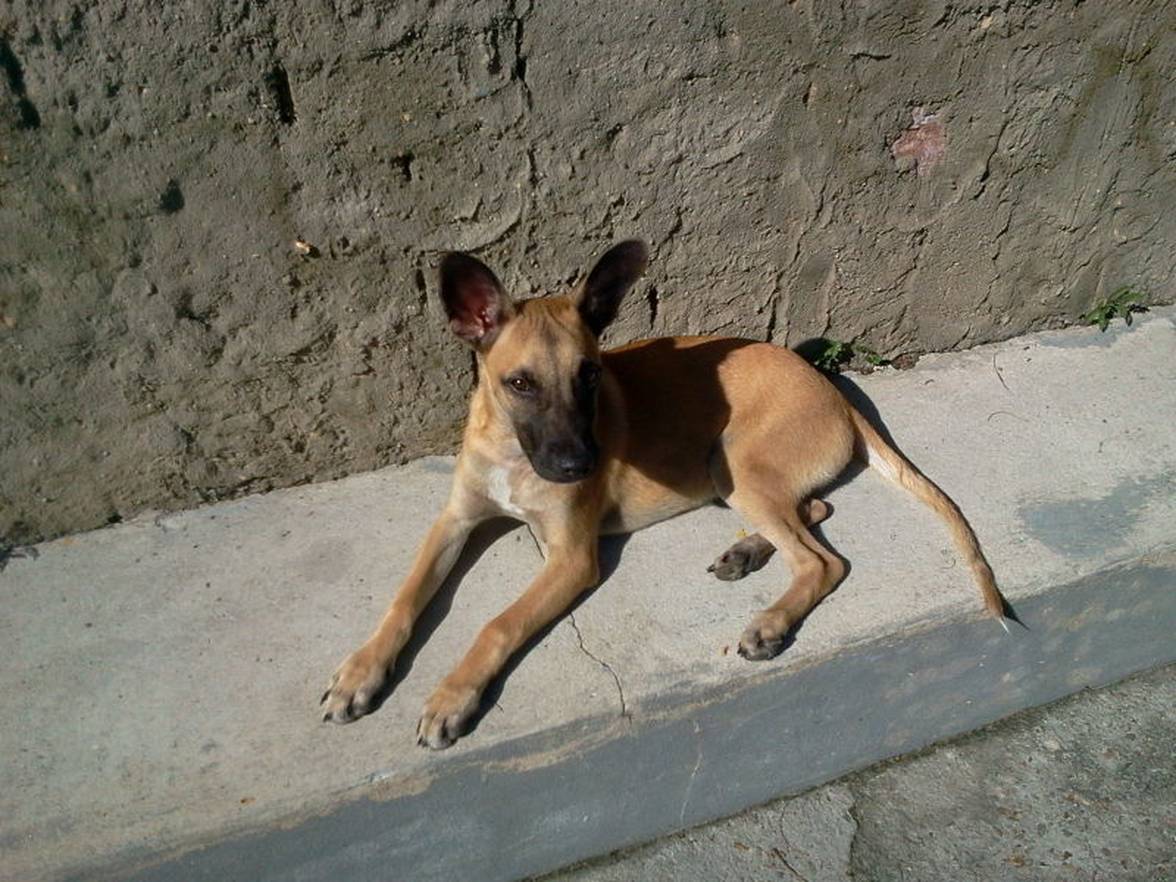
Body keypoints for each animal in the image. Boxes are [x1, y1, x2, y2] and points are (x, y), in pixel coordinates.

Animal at [321, 240, 1008, 749]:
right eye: (519, 383)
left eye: (590, 375)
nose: (579, 464)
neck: (513, 452)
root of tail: (834, 390)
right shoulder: (455, 520)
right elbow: (404, 597)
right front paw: (360, 671)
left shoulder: (572, 558)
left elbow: (497, 623)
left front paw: (451, 697)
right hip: (736, 477)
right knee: (814, 510)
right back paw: (747, 552)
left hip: (734, 464)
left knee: (822, 559)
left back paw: (769, 621)